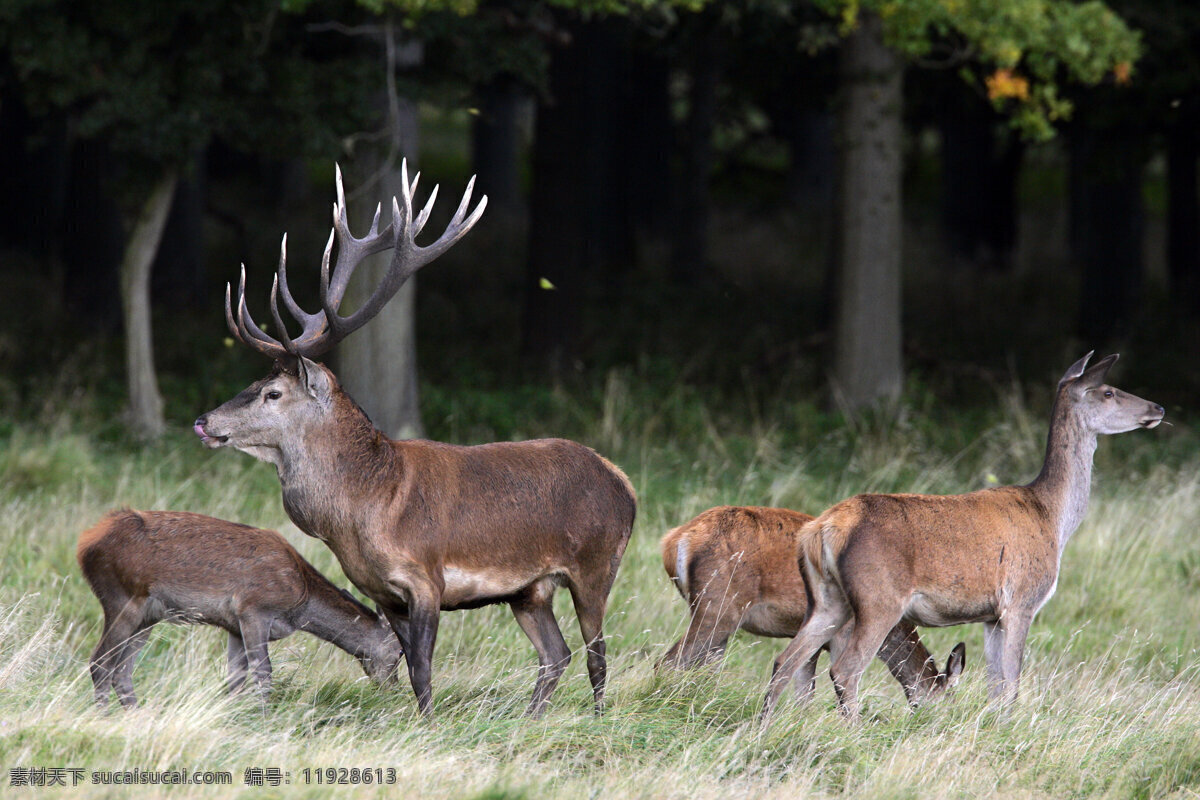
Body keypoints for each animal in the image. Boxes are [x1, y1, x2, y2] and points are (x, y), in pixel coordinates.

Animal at [78, 510, 403, 710]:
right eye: (401, 650)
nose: (394, 688)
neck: (300, 600)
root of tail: (85, 545)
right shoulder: (254, 609)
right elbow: (264, 673)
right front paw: (264, 720)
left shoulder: (233, 626)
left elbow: (234, 680)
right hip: (123, 598)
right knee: (100, 662)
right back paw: (104, 718)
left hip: (148, 617)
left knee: (122, 671)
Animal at [192, 164, 638, 719]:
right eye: (254, 383)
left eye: (273, 392)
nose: (204, 420)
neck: (361, 510)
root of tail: (624, 483)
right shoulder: (382, 590)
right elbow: (407, 666)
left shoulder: (427, 576)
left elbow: (423, 668)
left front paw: (427, 724)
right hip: (529, 590)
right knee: (557, 654)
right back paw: (531, 719)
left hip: (596, 564)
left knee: (598, 654)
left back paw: (598, 719)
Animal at [662, 510, 960, 705]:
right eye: (948, 702)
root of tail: (674, 541)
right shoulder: (842, 633)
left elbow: (803, 693)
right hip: (719, 608)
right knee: (667, 663)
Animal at [758, 352, 1161, 724]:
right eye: (1108, 391)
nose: (1157, 407)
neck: (1052, 519)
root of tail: (822, 528)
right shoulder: (1022, 600)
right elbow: (1012, 684)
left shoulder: (991, 615)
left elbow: (996, 685)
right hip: (878, 598)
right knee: (845, 668)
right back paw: (853, 732)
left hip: (827, 599)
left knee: (784, 660)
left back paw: (764, 728)